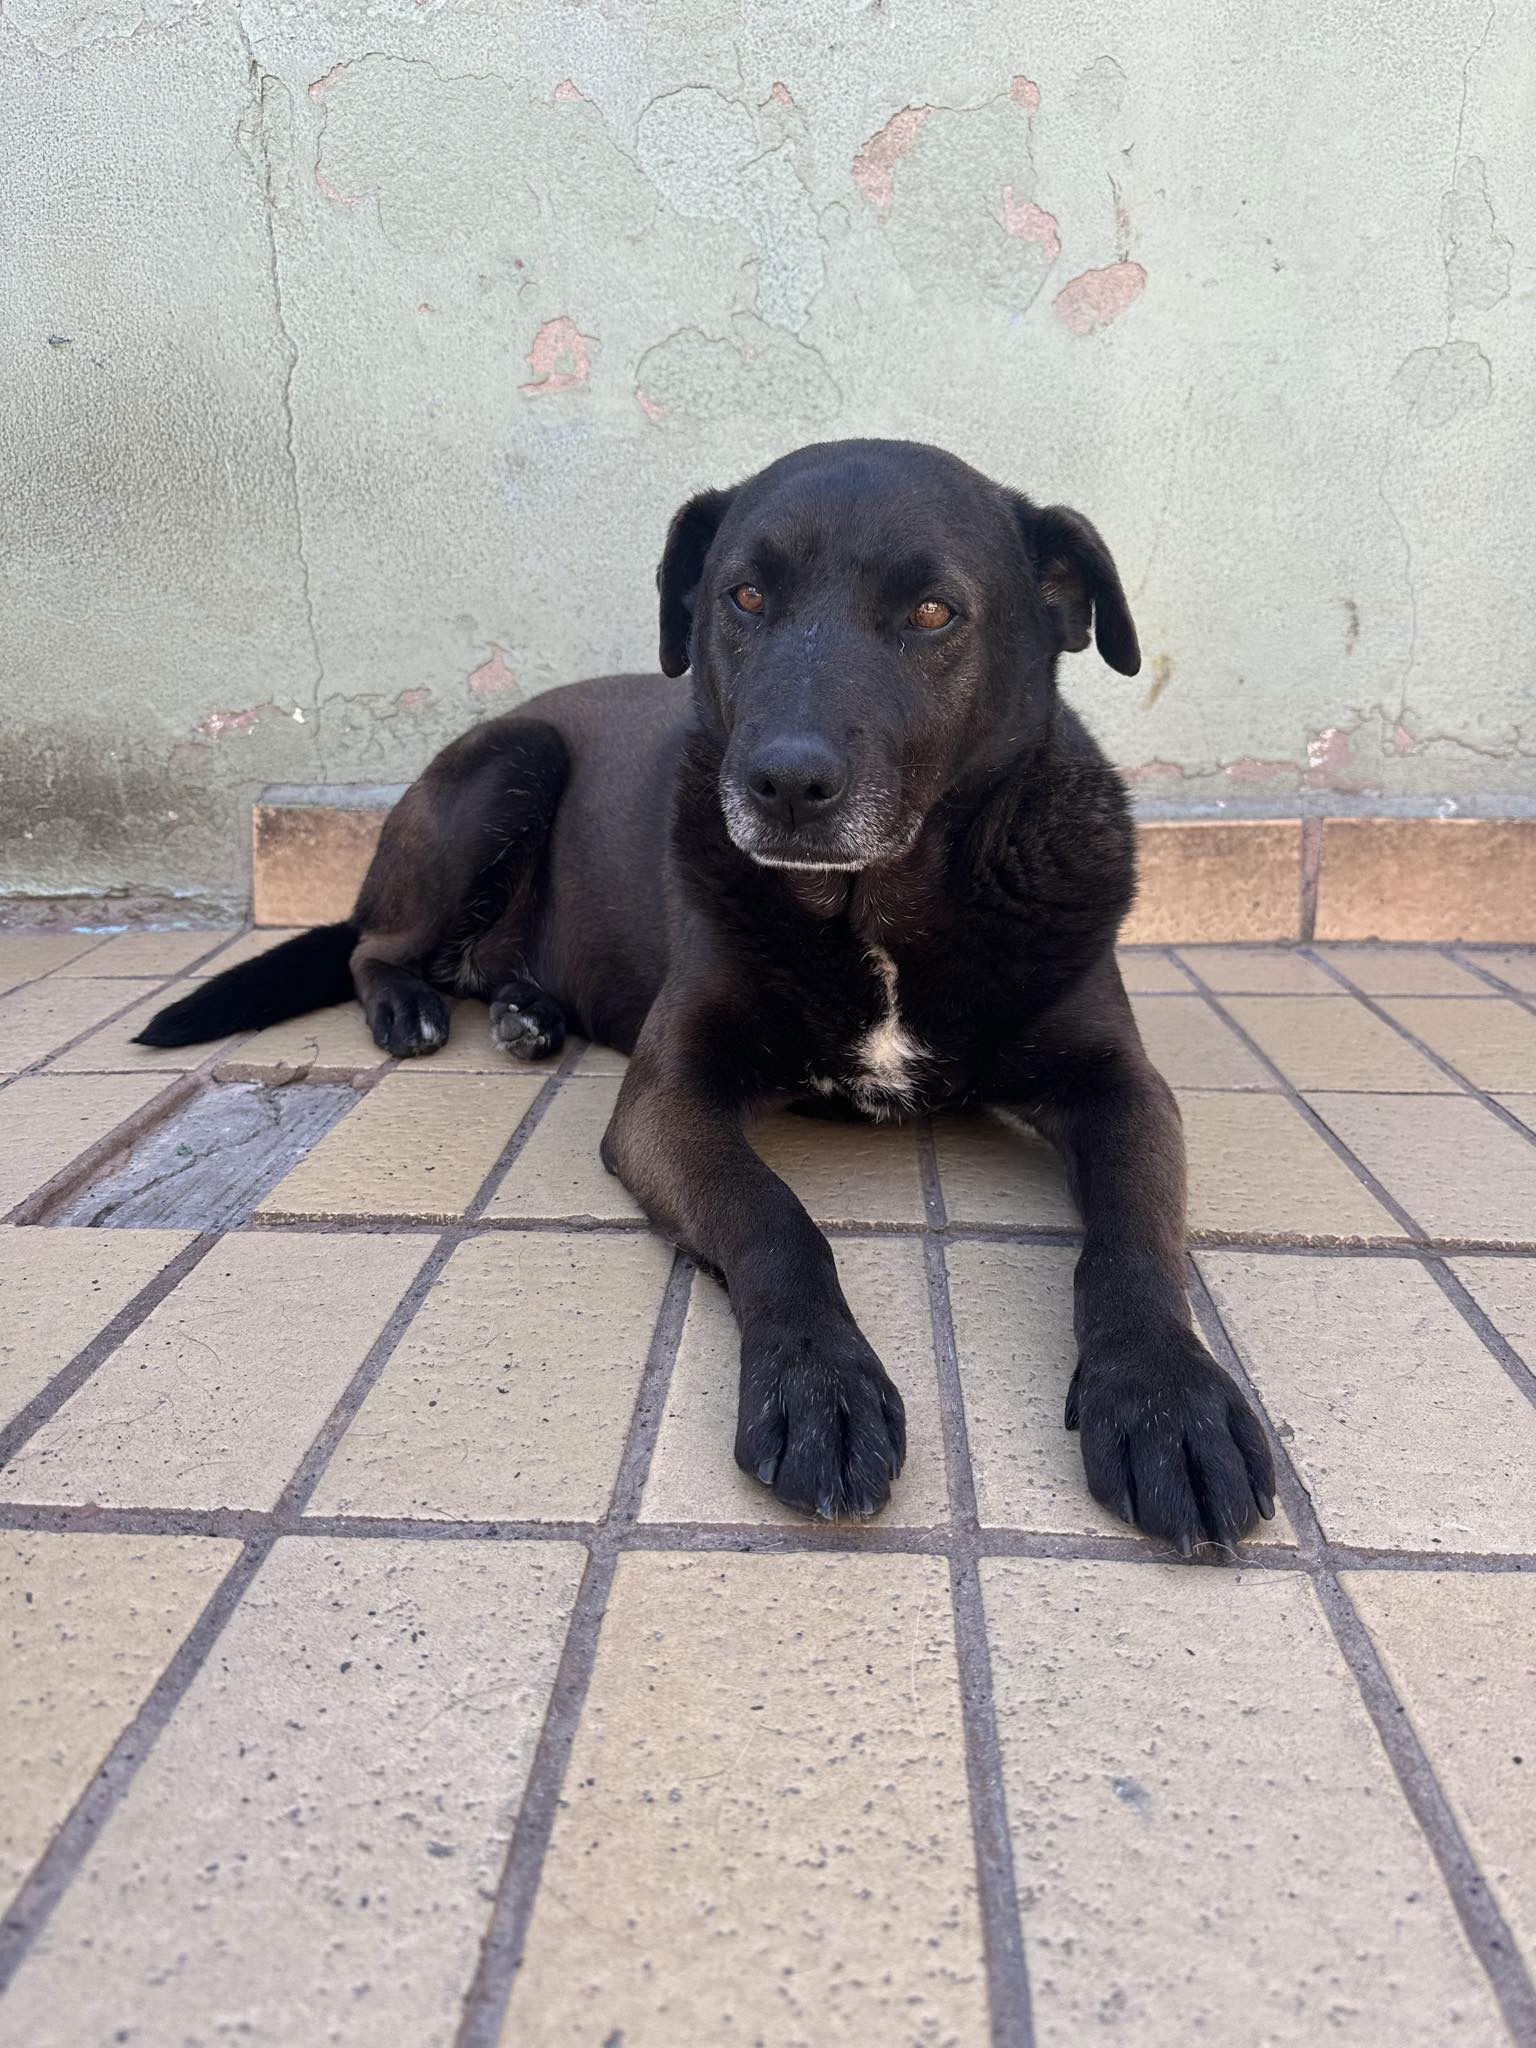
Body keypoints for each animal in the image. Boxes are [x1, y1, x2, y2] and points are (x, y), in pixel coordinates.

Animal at [141, 432, 1277, 1548]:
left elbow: (1133, 1237)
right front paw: (818, 1385)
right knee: (371, 945)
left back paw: (526, 1010)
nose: (785, 783)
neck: (875, 910)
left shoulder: (1121, 1087)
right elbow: (775, 1217)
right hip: (506, 768)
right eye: (745, 596)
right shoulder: (667, 1095)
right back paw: (409, 1008)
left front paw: (1165, 1395)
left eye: (933, 612)